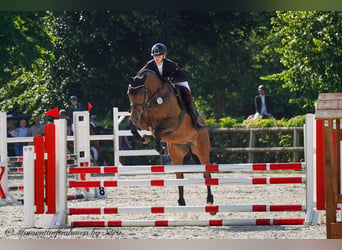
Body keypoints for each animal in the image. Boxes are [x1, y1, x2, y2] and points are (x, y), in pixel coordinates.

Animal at [125, 69, 214, 209]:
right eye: (129, 93)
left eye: (141, 93)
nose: (135, 117)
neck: (155, 98)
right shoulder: (145, 122)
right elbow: (132, 124)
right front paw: (142, 138)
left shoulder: (173, 122)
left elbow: (157, 131)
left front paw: (161, 149)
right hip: (177, 153)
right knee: (179, 175)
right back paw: (181, 201)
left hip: (202, 150)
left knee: (207, 173)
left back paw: (210, 200)